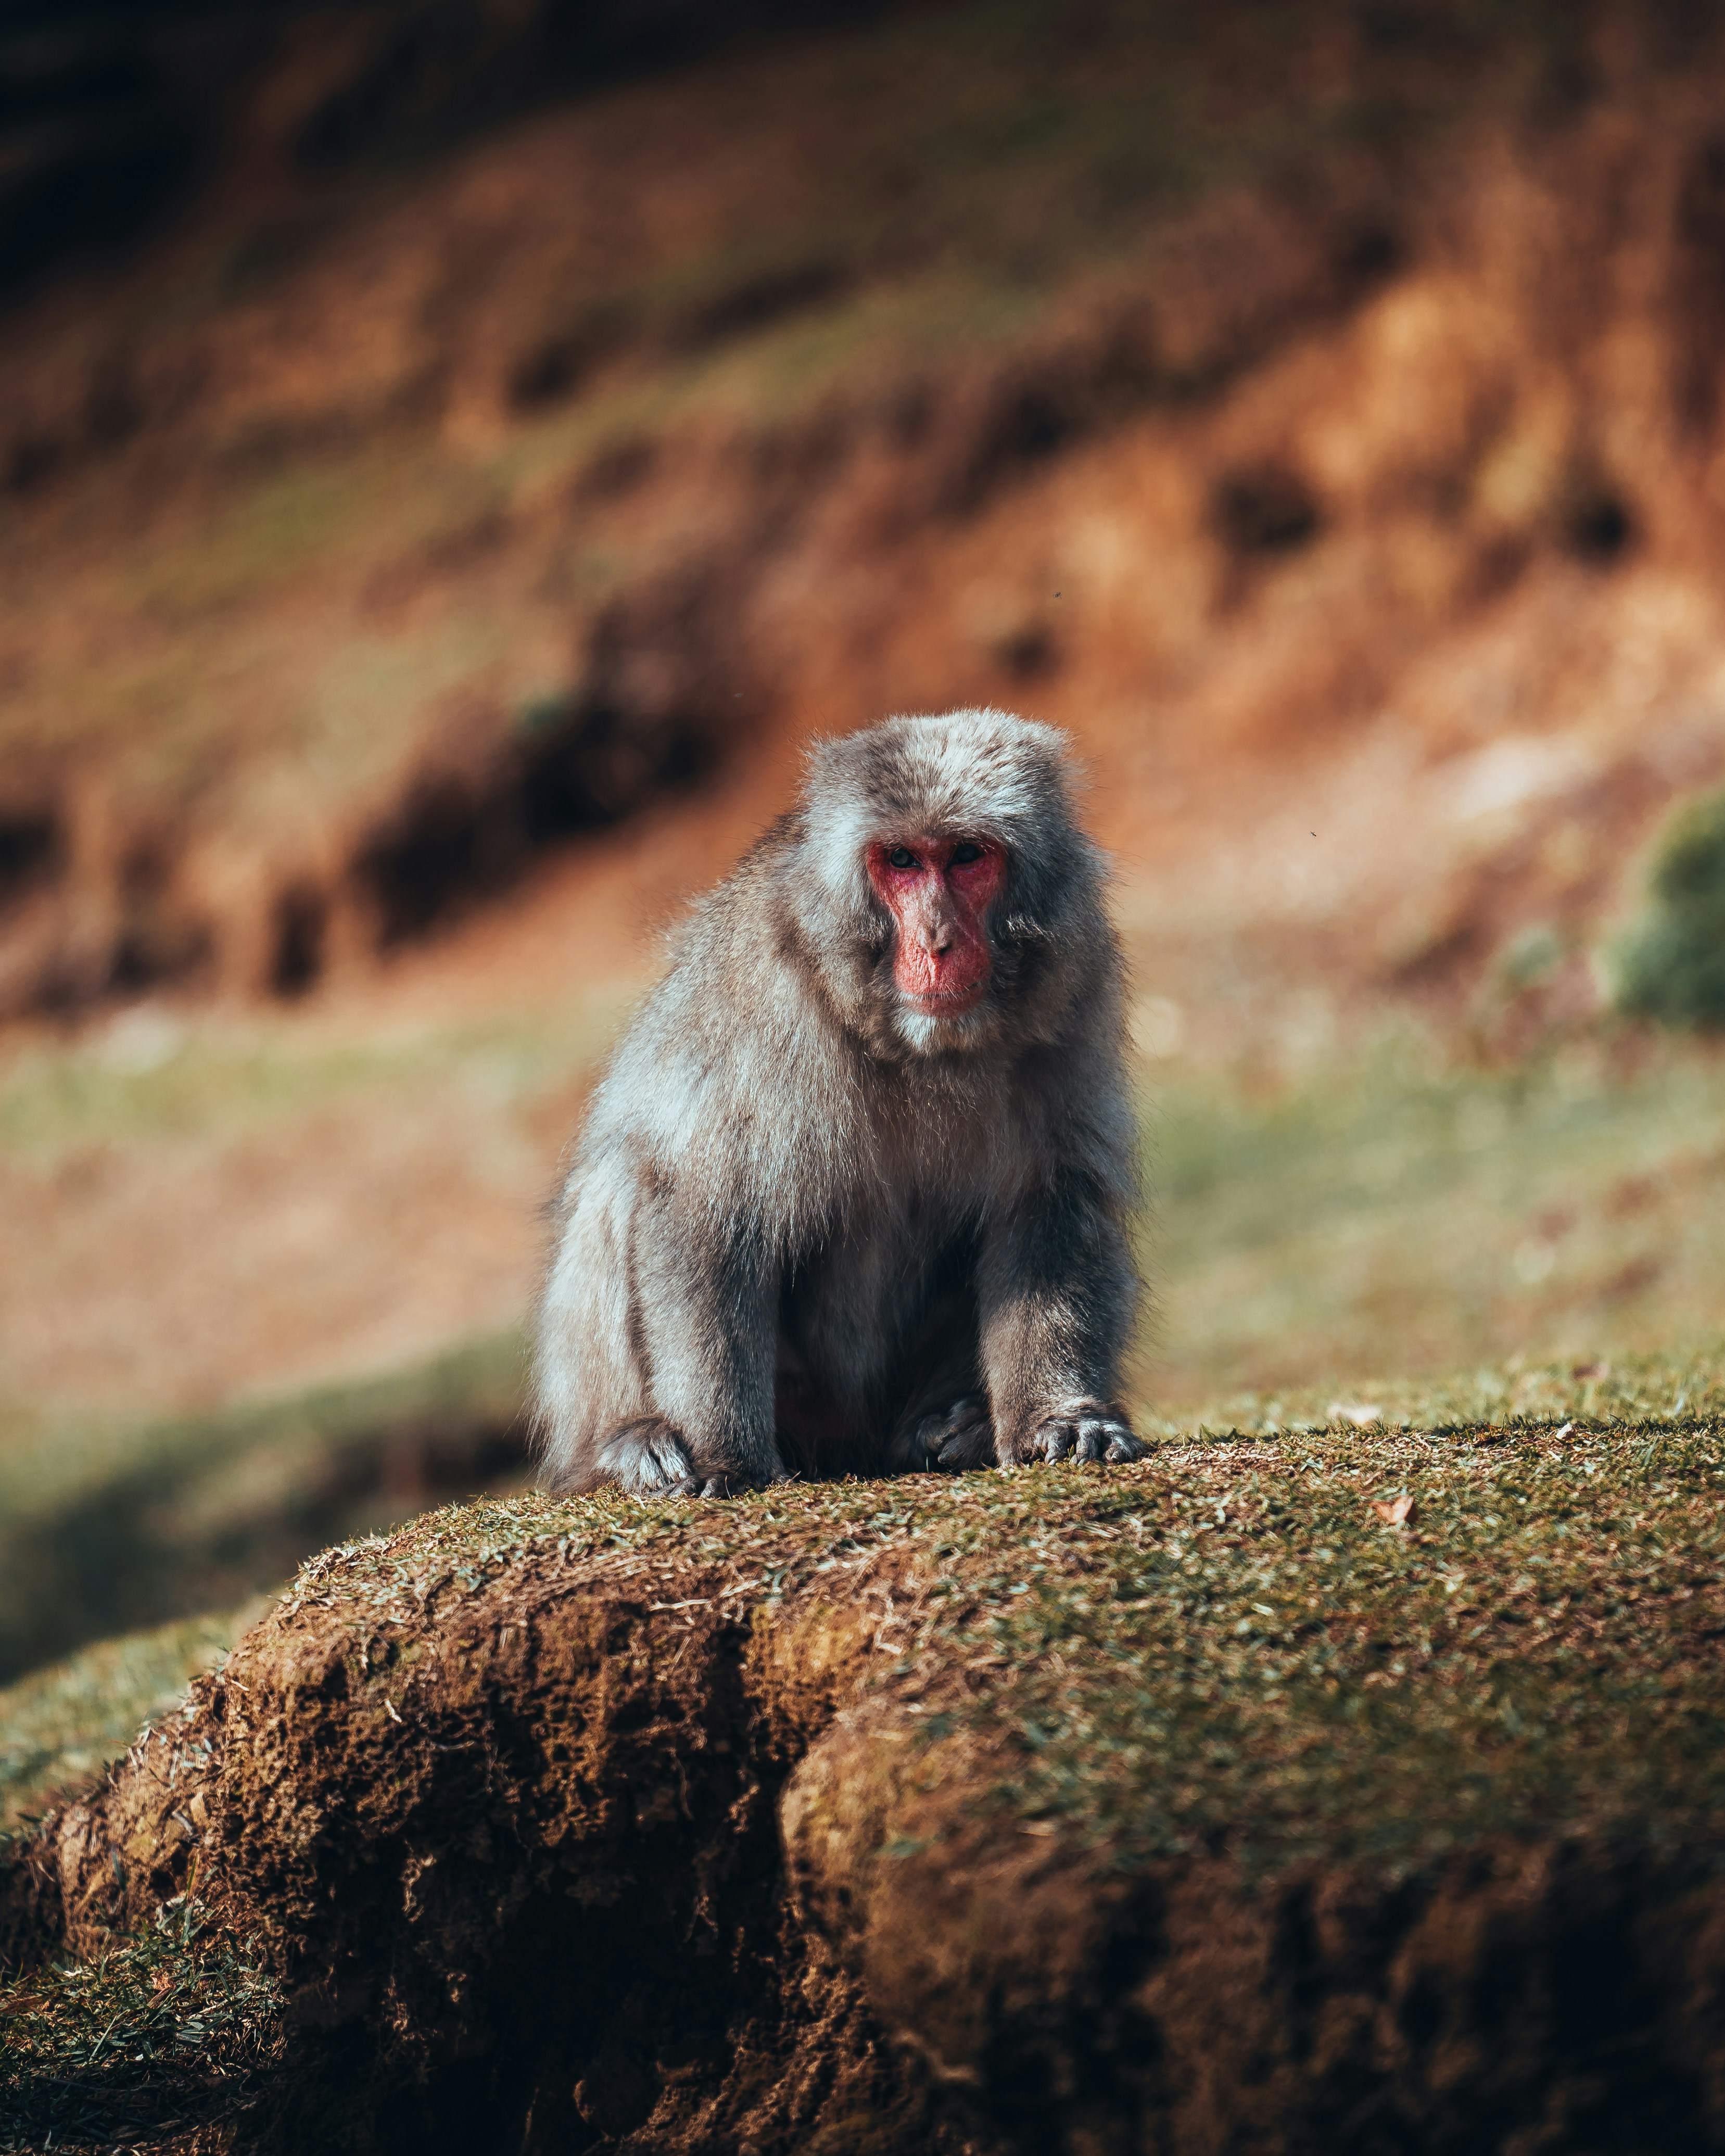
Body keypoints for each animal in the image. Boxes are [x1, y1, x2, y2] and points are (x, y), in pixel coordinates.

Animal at [532, 707, 1145, 1497]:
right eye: (902, 861)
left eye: (966, 856)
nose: (938, 942)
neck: (911, 1046)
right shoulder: (765, 1000)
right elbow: (705, 1206)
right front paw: (725, 1456)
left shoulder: (1073, 982)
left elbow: (1052, 1196)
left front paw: (1058, 1417)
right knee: (622, 1177)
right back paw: (623, 1442)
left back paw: (958, 1426)